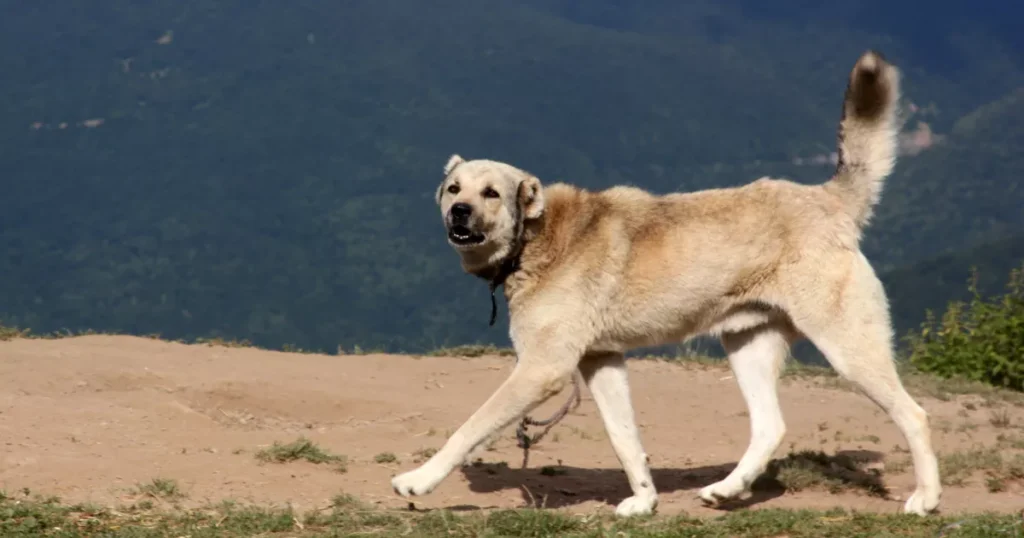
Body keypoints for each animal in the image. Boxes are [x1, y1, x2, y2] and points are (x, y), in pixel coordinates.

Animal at [391, 51, 942, 516]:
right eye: (454, 189)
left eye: (491, 194)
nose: (459, 212)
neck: (536, 239)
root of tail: (826, 199)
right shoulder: (601, 363)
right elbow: (626, 441)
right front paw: (644, 502)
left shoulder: (541, 370)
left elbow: (471, 427)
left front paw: (420, 480)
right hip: (747, 347)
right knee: (770, 427)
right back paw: (727, 490)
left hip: (848, 349)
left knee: (915, 414)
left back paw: (926, 499)